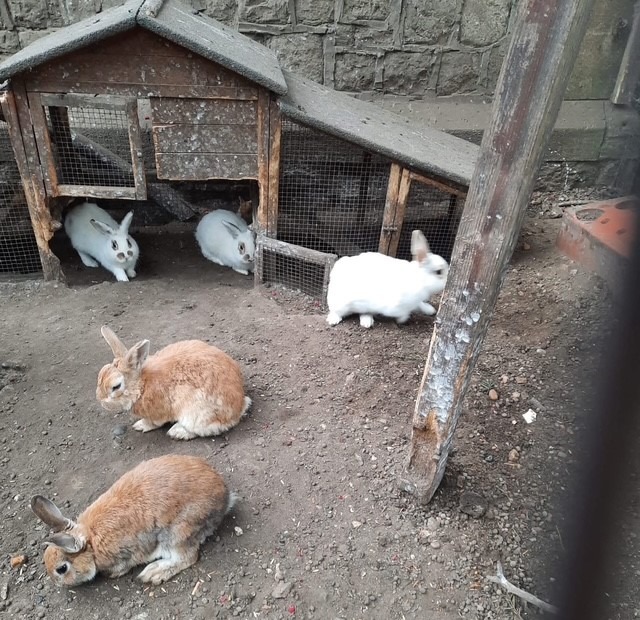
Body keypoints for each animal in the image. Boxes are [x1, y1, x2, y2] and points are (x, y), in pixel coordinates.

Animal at [30, 454, 235, 586]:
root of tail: (225, 497)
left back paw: (153, 573)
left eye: (62, 569)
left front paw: (113, 574)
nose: (57, 584)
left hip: (177, 533)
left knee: (188, 557)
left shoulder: (124, 555)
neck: (90, 543)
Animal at [96, 325, 251, 440]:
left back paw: (177, 432)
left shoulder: (158, 413)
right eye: (100, 375)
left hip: (197, 415)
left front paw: (140, 426)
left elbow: (153, 423)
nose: (101, 402)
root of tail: (240, 404)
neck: (142, 385)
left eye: (116, 387)